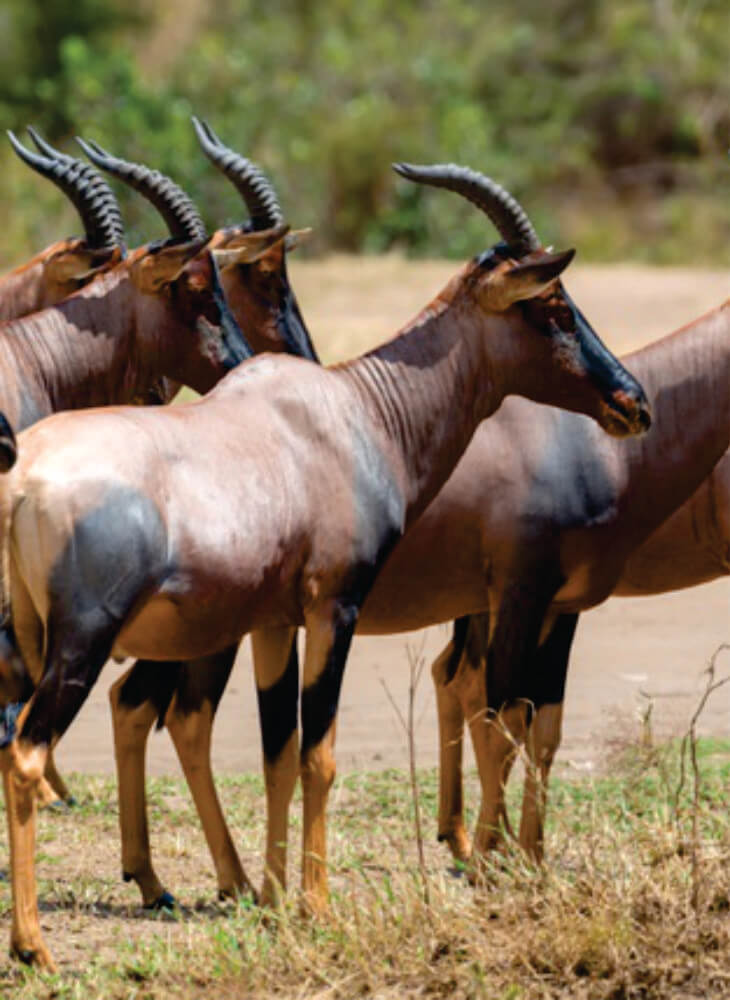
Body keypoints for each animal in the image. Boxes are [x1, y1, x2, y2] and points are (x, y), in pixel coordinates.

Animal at [0, 160, 648, 964]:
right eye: (552, 304)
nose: (633, 401)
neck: (348, 413)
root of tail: (24, 478)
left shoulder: (275, 621)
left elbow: (279, 751)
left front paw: (276, 898)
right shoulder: (334, 607)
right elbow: (321, 753)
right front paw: (317, 904)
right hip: (82, 643)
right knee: (26, 753)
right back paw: (34, 945)